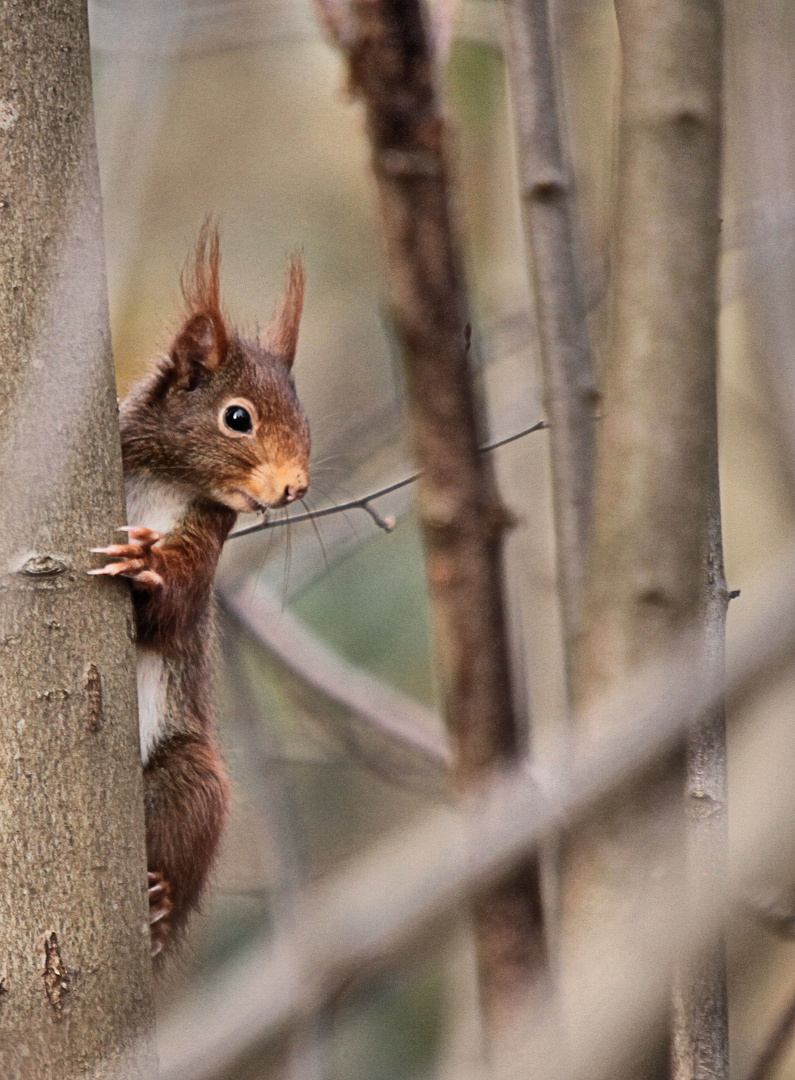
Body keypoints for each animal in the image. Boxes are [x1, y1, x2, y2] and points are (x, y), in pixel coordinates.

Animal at [88, 227, 308, 954]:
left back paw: (160, 906)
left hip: (190, 777)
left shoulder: (208, 533)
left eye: (304, 416)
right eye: (237, 417)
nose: (296, 486)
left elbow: (178, 606)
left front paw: (145, 566)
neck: (167, 477)